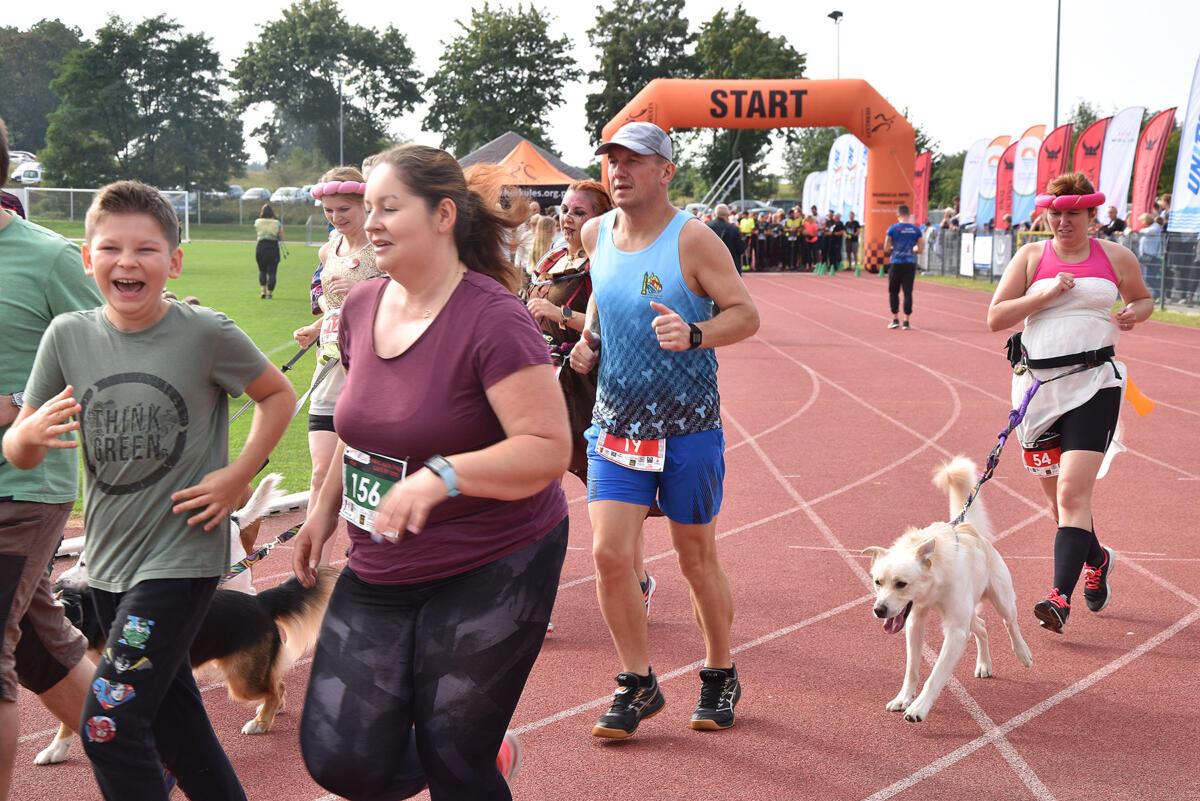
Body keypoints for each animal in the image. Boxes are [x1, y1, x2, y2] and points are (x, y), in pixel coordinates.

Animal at [36, 476, 334, 765]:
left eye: (85, 565)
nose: (57, 581)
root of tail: (260, 602)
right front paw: (56, 749)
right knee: (276, 683)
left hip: (242, 679)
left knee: (274, 687)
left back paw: (261, 721)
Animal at [862, 456, 1033, 723]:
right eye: (877, 582)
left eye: (901, 583)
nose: (879, 610)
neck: (934, 585)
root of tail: (968, 527)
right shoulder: (915, 622)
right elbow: (912, 669)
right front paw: (903, 699)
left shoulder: (955, 632)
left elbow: (936, 675)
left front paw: (918, 708)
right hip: (969, 614)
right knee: (982, 627)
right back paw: (984, 664)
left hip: (1002, 599)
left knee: (1010, 623)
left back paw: (1023, 652)